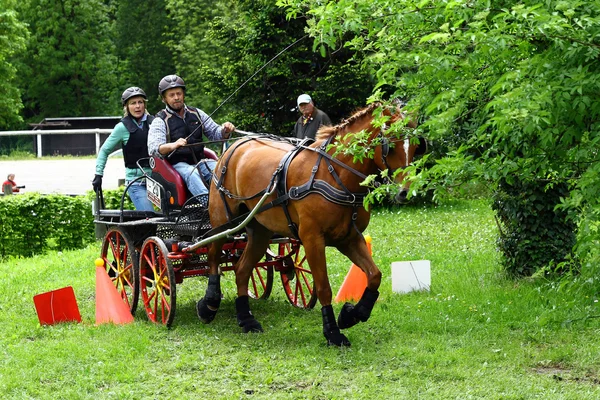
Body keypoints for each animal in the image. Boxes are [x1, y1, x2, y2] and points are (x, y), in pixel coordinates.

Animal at [197, 101, 422, 346]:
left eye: (416, 146)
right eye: (391, 143)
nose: (405, 192)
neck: (333, 174)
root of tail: (233, 146)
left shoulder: (349, 238)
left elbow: (374, 276)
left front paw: (352, 314)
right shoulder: (313, 239)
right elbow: (323, 287)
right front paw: (333, 332)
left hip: (259, 231)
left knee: (241, 270)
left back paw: (246, 319)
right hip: (222, 221)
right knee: (213, 257)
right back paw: (209, 304)